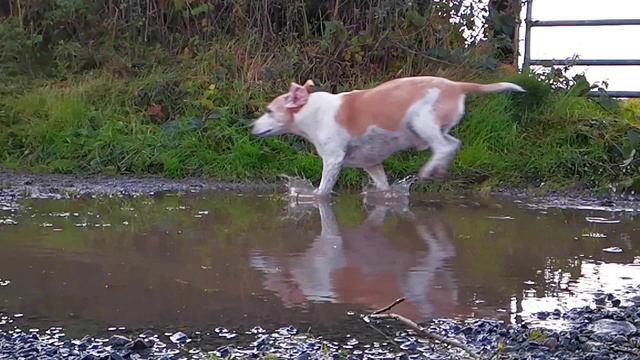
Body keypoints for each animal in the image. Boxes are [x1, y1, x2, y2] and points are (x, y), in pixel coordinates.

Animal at [250, 75, 524, 197]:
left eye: (269, 111)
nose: (251, 127)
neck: (310, 110)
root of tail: (456, 85)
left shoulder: (333, 160)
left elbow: (323, 190)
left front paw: (314, 198)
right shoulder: (371, 164)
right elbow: (383, 187)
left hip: (421, 121)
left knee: (444, 147)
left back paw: (428, 171)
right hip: (434, 128)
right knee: (452, 144)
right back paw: (438, 170)